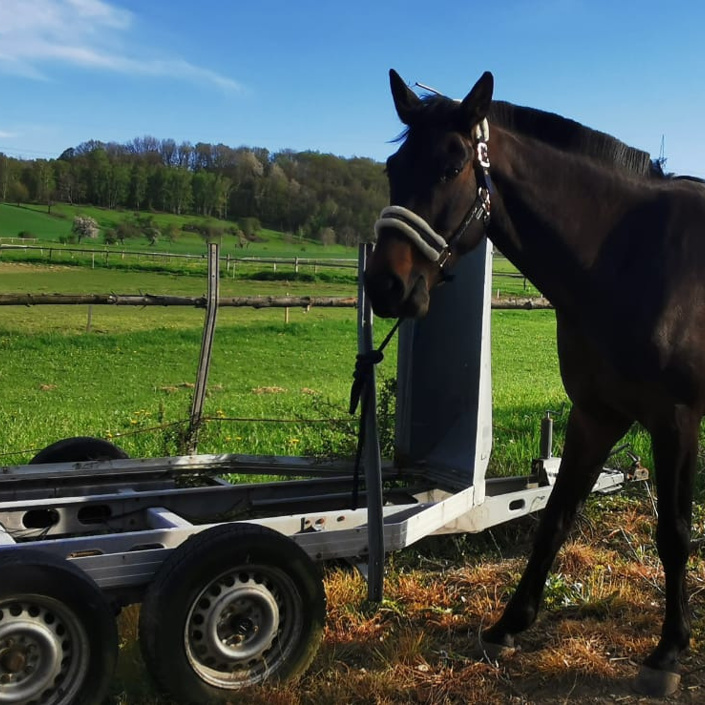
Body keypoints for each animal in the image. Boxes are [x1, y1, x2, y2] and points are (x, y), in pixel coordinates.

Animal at [364, 69, 705, 697]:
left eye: (452, 166)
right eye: (394, 169)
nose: (386, 287)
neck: (627, 258)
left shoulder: (676, 421)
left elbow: (673, 531)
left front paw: (669, 650)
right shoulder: (595, 414)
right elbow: (555, 517)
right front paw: (509, 624)